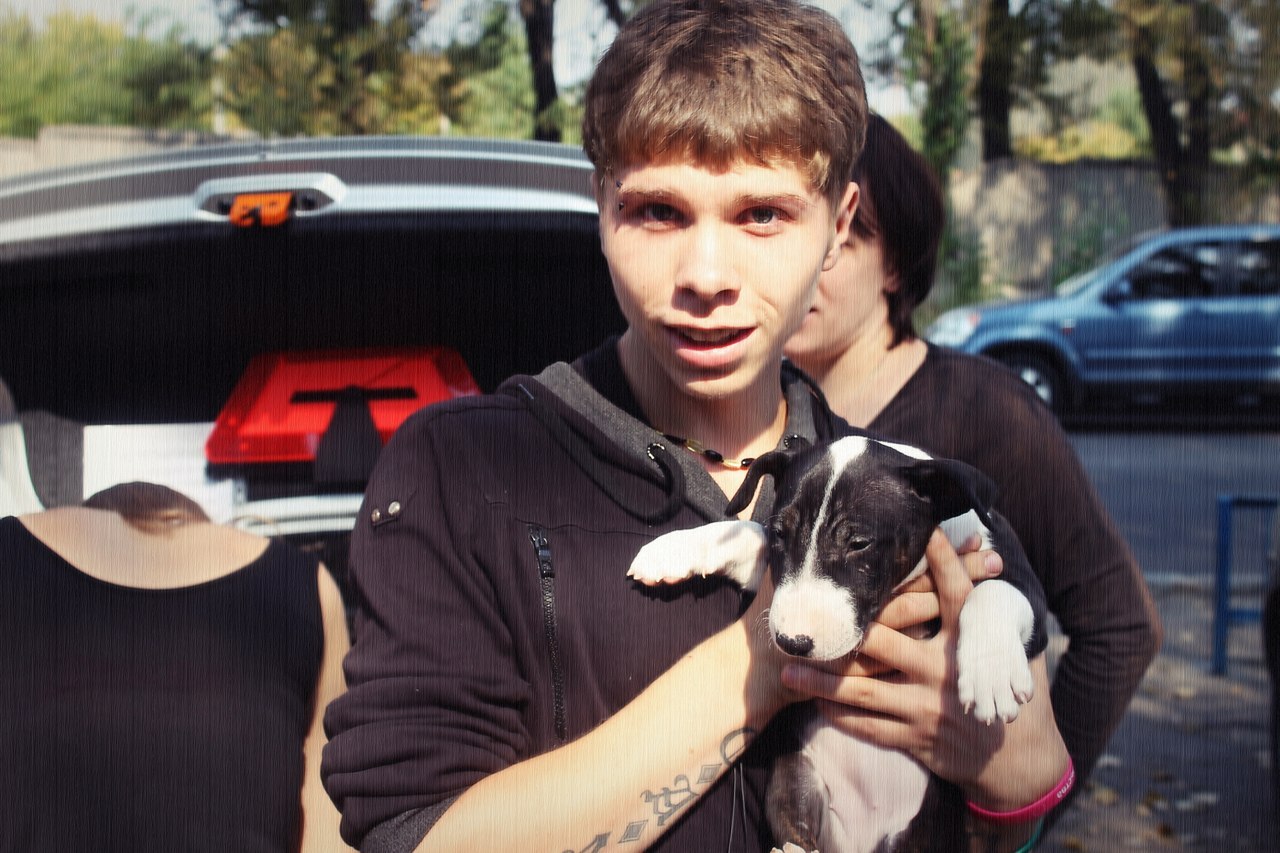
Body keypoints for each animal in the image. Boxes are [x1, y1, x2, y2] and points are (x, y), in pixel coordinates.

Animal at [628, 435, 1037, 853]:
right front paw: (675, 550)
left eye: (859, 543)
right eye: (780, 533)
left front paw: (991, 676)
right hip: (796, 778)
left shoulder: (1017, 579)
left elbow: (994, 591)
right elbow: (750, 532)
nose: (791, 643)